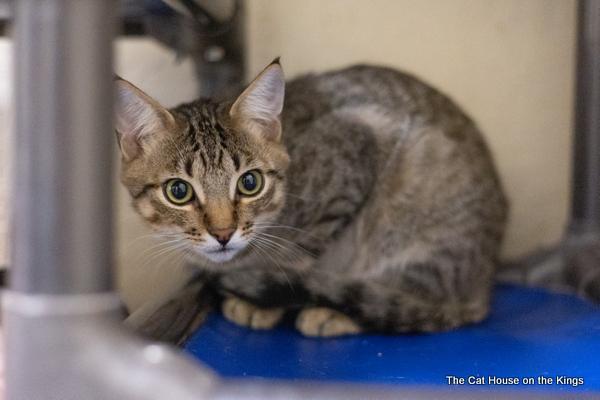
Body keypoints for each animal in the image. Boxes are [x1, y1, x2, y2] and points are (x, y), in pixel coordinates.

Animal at [116, 60, 506, 340]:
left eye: (250, 183)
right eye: (178, 191)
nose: (223, 233)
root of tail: (482, 286)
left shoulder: (356, 144)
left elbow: (295, 257)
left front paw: (262, 300)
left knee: (412, 303)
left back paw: (336, 312)